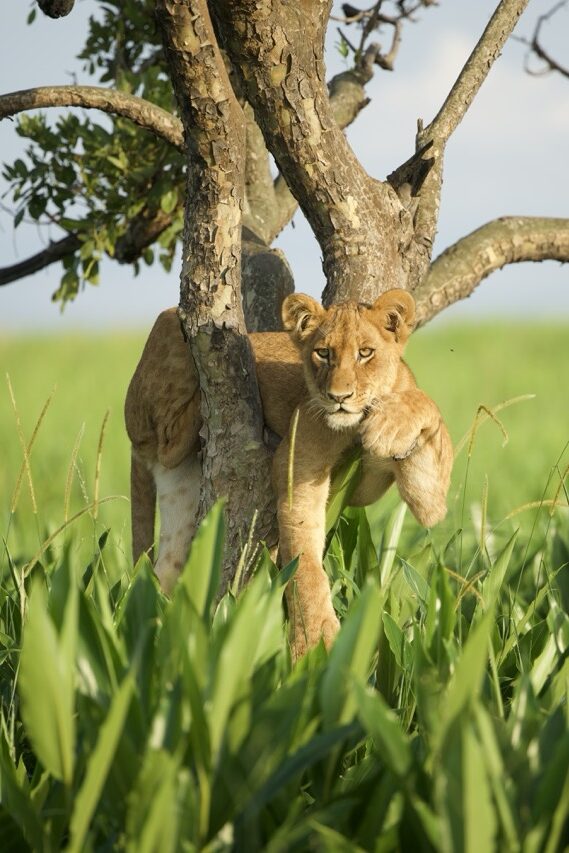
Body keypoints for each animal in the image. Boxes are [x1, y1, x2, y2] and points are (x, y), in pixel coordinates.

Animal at [125, 289, 453, 659]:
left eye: (365, 353)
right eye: (323, 353)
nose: (339, 397)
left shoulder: (382, 487)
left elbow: (427, 415)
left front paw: (390, 425)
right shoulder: (297, 466)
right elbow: (305, 563)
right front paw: (315, 642)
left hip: (181, 489)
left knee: (165, 567)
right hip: (167, 327)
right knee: (171, 431)